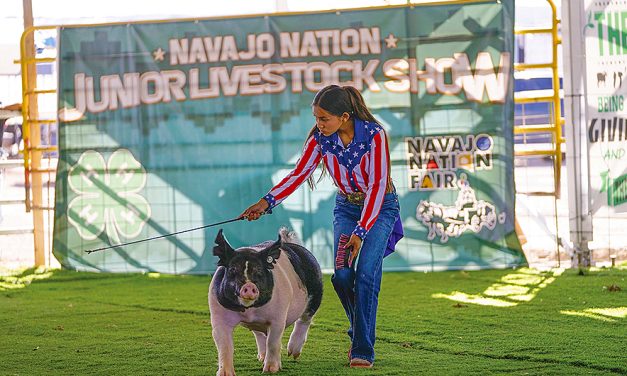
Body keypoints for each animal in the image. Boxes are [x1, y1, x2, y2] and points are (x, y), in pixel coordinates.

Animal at [210, 228, 322, 374]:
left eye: (259, 271)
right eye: (233, 270)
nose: (249, 285)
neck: (249, 311)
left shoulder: (278, 317)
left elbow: (273, 342)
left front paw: (270, 370)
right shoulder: (218, 316)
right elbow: (224, 345)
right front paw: (224, 373)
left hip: (316, 292)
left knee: (304, 320)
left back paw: (292, 354)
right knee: (259, 334)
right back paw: (262, 357)